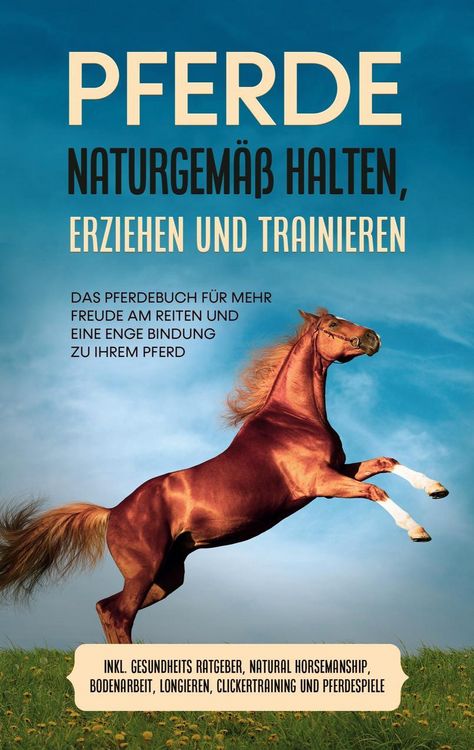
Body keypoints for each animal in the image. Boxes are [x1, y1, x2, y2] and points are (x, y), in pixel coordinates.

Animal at [0, 308, 448, 644]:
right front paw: (418, 530)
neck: (295, 418)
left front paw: (436, 489)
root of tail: (113, 511)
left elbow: (386, 461)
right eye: (333, 326)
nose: (374, 337)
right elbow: (374, 490)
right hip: (144, 571)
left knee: (107, 608)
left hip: (167, 575)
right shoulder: (321, 483)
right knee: (117, 613)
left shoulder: (338, 469)